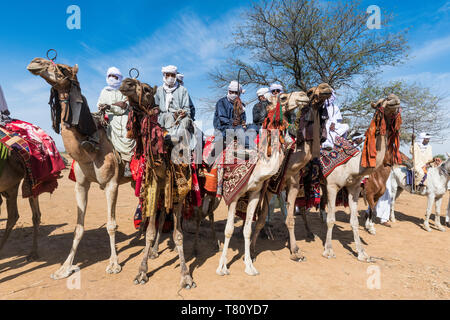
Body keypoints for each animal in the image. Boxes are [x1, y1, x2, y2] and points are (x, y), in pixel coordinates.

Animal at [27, 58, 132, 280]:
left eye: (63, 68)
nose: (35, 62)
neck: (90, 150)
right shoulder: (81, 184)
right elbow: (78, 228)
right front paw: (64, 268)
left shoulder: (111, 183)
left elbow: (111, 225)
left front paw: (113, 264)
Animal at [118, 78, 195, 290]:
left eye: (145, 89)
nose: (126, 83)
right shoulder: (154, 187)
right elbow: (150, 231)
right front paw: (141, 272)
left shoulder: (178, 192)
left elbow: (178, 234)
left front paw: (186, 276)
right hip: (161, 193)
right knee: (160, 219)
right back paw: (153, 251)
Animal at [217, 89, 312, 276]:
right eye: (283, 97)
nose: (303, 95)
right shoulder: (233, 195)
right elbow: (228, 230)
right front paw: (222, 267)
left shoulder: (255, 192)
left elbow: (247, 229)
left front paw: (249, 266)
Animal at [248, 82, 332, 262]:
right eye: (283, 97)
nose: (325, 87)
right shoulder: (267, 188)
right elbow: (260, 219)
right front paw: (251, 250)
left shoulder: (293, 184)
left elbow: (290, 219)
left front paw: (295, 251)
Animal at [322, 94, 402, 262]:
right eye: (381, 102)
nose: (394, 98)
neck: (352, 165)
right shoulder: (332, 185)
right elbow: (331, 219)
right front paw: (329, 250)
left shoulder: (354, 188)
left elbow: (353, 221)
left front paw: (362, 252)